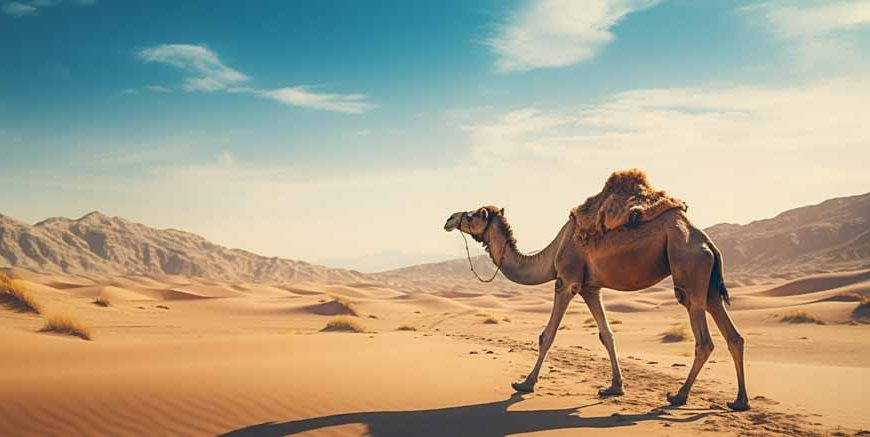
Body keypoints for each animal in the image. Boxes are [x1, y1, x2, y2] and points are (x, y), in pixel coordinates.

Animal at [443, 188, 749, 411]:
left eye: (472, 215)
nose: (449, 219)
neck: (553, 251)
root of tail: (707, 242)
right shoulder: (590, 288)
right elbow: (607, 335)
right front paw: (615, 387)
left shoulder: (566, 280)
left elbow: (548, 335)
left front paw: (525, 383)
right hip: (708, 285)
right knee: (734, 336)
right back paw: (739, 401)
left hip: (689, 271)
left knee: (704, 340)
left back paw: (678, 396)